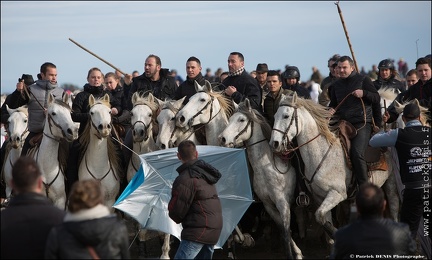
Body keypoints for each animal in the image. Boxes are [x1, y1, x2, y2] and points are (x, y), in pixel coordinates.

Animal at [219, 98, 304, 258]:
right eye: (230, 119)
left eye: (241, 119)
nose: (222, 138)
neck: (267, 168)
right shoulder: (269, 205)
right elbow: (284, 231)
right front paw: (298, 252)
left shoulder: (283, 204)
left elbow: (285, 233)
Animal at [270, 93, 398, 240]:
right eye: (275, 116)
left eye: (286, 116)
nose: (274, 143)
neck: (321, 153)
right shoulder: (320, 197)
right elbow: (323, 218)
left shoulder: (337, 193)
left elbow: (320, 215)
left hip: (390, 184)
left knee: (394, 208)